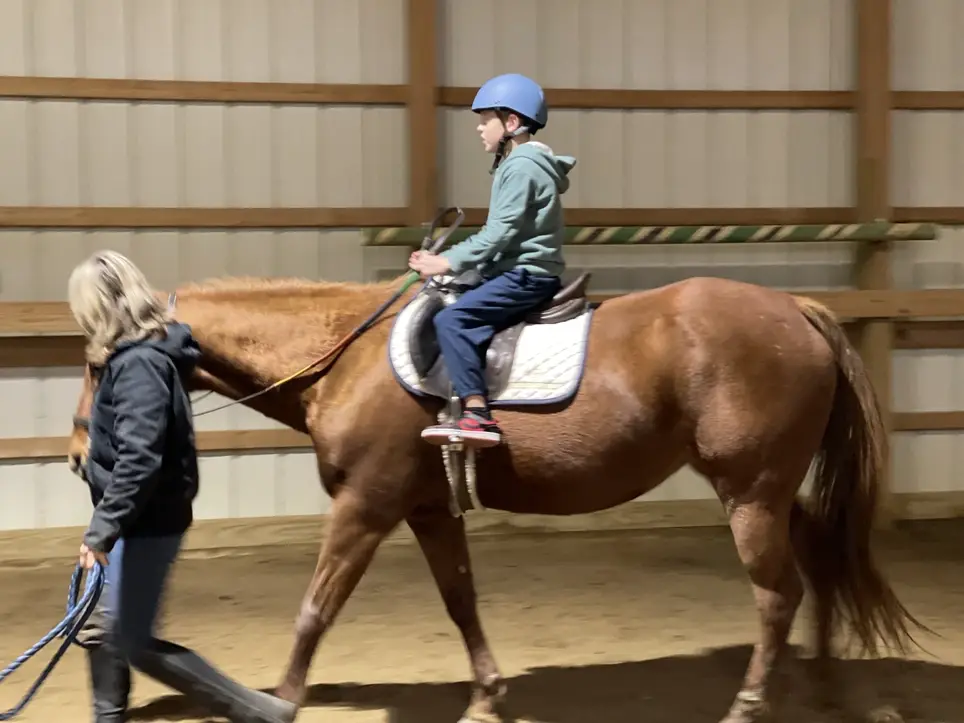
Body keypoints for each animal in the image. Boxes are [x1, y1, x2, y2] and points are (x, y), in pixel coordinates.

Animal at [65, 267, 924, 723]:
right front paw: (485, 696)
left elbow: (317, 605)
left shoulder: (366, 506)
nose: (78, 456)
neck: (345, 357)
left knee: (777, 592)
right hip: (773, 490)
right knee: (819, 560)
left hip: (749, 492)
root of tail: (795, 309)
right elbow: (462, 600)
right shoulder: (425, 509)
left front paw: (279, 697)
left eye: (100, 362)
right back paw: (823, 683)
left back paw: (750, 702)